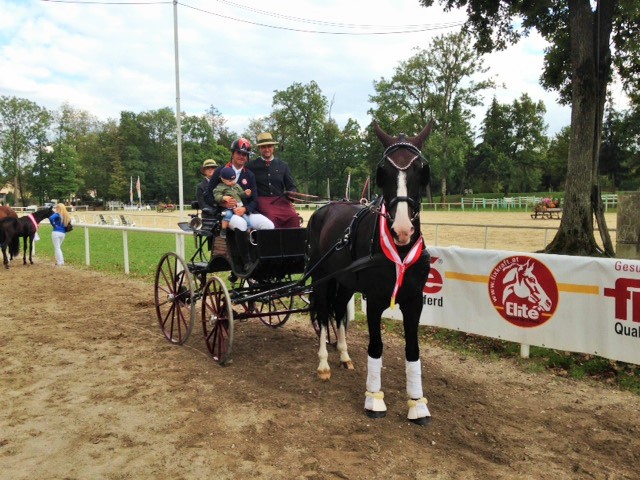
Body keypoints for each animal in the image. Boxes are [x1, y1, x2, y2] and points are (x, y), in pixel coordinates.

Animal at [306, 122, 436, 426]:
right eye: (382, 172)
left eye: (422, 170)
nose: (402, 229)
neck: (400, 251)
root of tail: (326, 208)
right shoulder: (375, 301)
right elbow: (375, 347)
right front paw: (374, 400)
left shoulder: (414, 301)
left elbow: (413, 350)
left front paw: (417, 404)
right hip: (322, 278)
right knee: (322, 313)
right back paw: (323, 364)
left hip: (344, 281)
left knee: (338, 311)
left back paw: (343, 355)